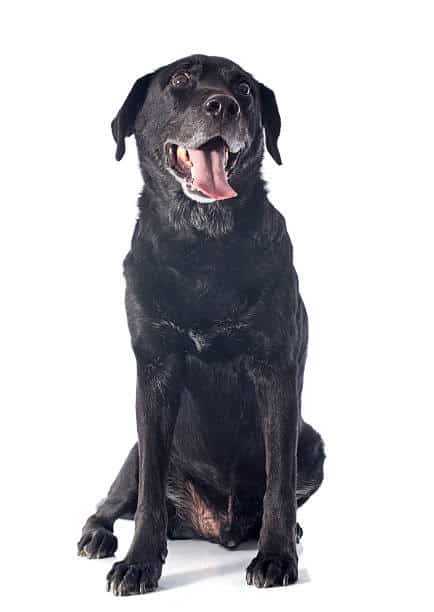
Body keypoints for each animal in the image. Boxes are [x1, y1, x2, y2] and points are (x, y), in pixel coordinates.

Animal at [77, 56, 326, 592]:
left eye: (245, 89)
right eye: (180, 80)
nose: (224, 105)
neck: (203, 247)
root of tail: (210, 526)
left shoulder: (276, 372)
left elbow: (279, 480)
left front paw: (278, 555)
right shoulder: (154, 375)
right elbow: (150, 494)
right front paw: (139, 562)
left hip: (313, 443)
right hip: (131, 454)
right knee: (110, 502)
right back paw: (97, 535)